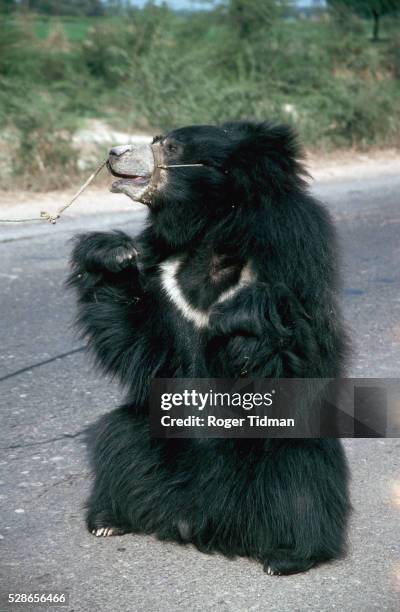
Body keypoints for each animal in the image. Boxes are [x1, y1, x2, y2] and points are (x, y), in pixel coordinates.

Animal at [69, 122, 350, 576]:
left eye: (169, 147)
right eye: (156, 140)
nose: (113, 153)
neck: (212, 227)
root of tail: (203, 520)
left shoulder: (292, 253)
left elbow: (301, 349)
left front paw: (242, 316)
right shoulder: (163, 271)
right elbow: (142, 341)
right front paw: (111, 253)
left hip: (285, 452)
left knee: (301, 476)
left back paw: (287, 555)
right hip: (151, 430)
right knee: (118, 440)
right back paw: (108, 520)